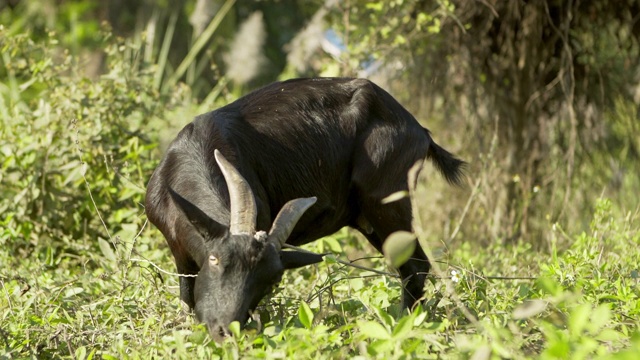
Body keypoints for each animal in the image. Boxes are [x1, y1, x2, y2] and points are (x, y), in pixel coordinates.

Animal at [144, 78, 464, 340]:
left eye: (271, 281)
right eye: (215, 259)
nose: (225, 330)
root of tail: (419, 131)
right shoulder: (179, 252)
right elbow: (186, 299)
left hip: (387, 203)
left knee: (415, 266)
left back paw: (402, 327)